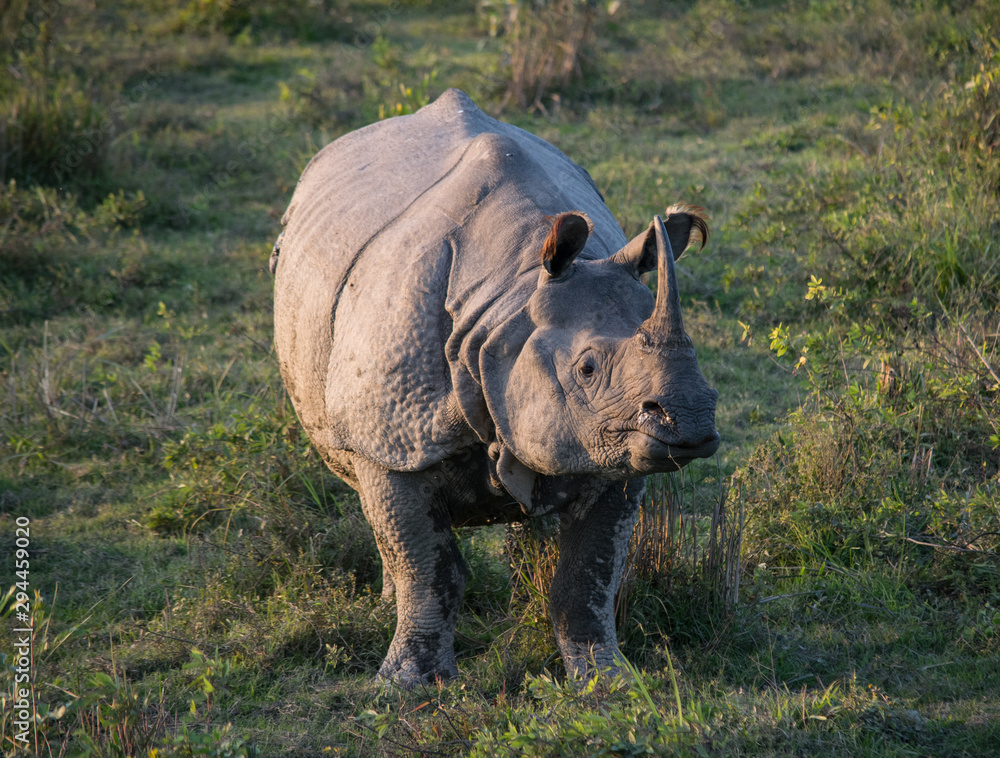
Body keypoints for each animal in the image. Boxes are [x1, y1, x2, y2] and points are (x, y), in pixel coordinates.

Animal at [271, 89, 719, 686]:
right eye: (587, 369)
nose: (689, 422)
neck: (508, 300)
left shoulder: (615, 449)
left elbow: (589, 574)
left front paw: (606, 681)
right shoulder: (392, 440)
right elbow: (427, 568)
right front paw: (406, 687)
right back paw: (387, 605)